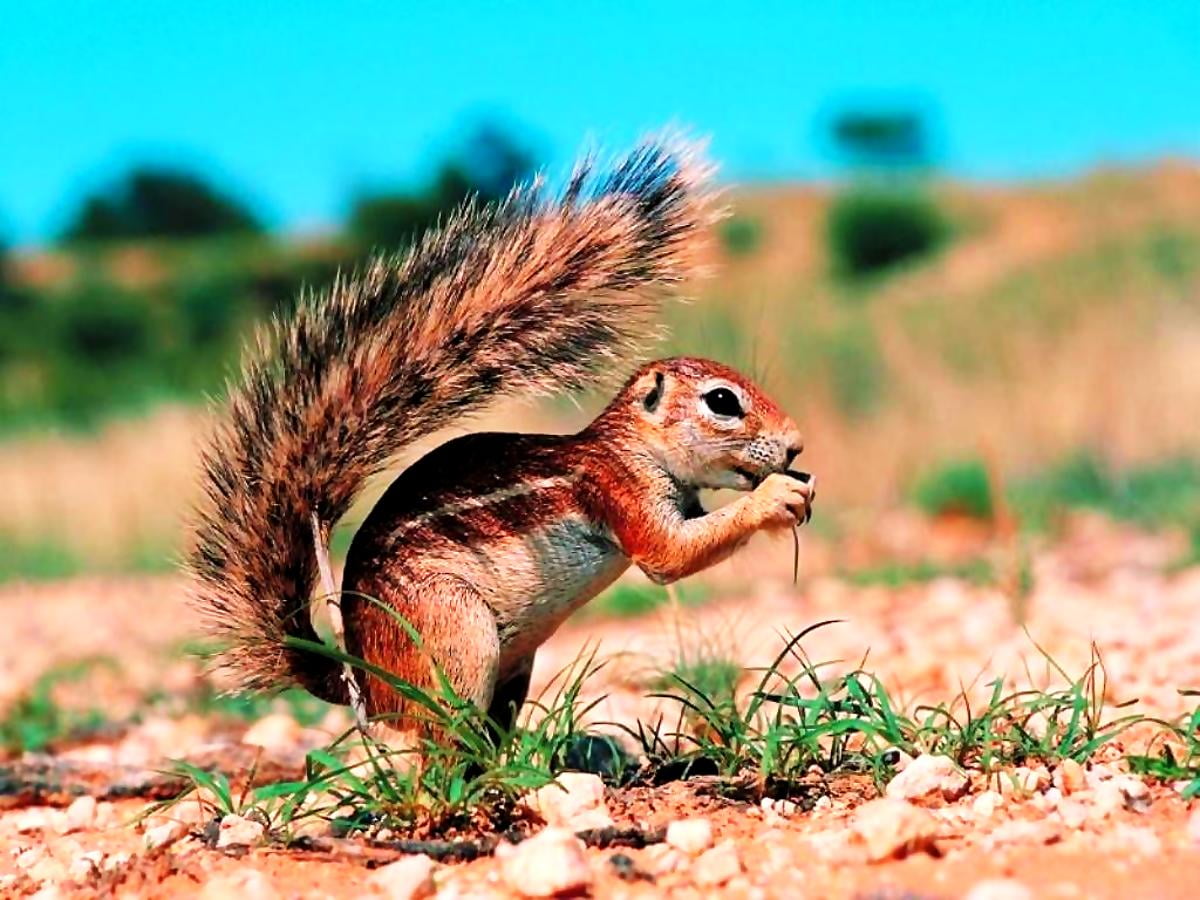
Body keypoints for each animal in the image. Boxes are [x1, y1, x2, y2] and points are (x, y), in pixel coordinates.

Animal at [189, 136, 815, 738]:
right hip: (454, 632)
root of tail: (361, 677)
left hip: (513, 668)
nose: (795, 446)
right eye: (722, 402)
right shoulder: (619, 490)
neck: (631, 447)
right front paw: (777, 496)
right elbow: (670, 556)